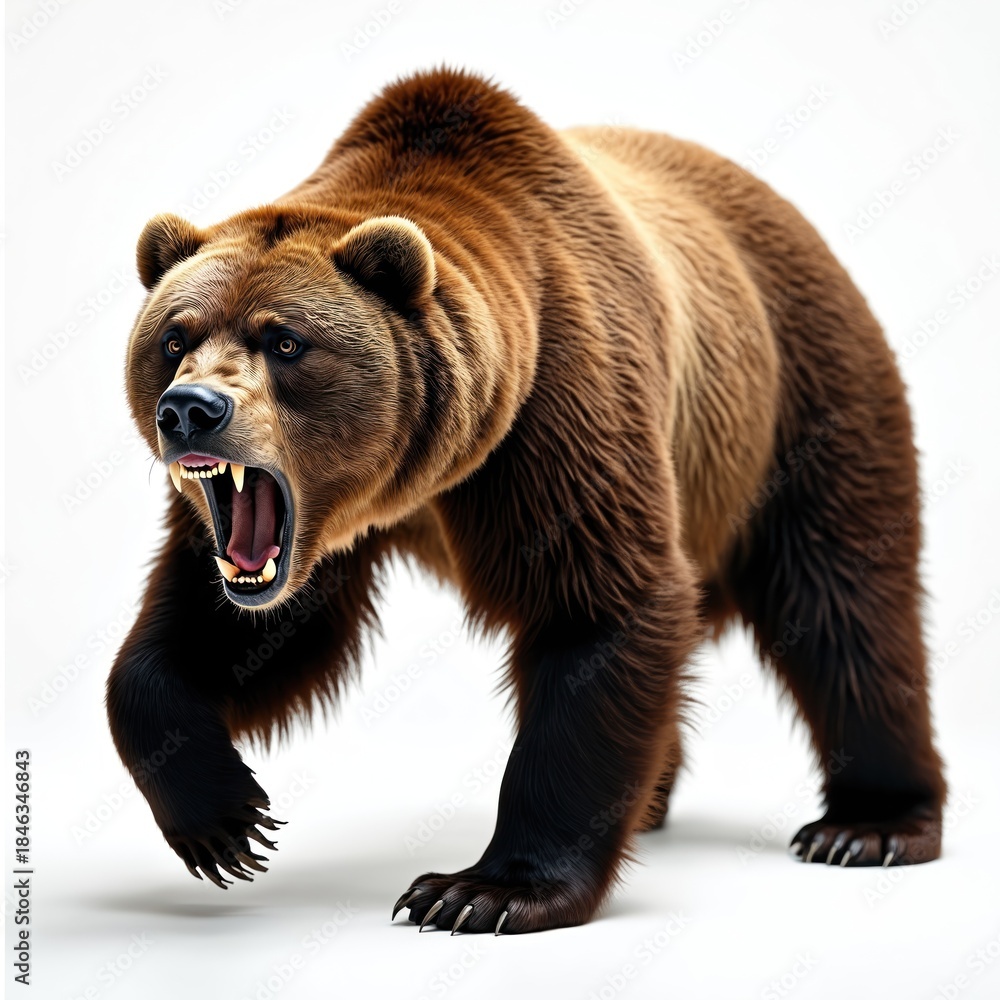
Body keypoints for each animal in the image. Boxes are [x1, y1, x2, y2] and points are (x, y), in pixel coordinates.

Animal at [107, 67, 946, 935]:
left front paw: (480, 890)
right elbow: (230, 632)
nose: (190, 410)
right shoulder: (302, 538)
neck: (429, 476)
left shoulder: (559, 405)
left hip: (800, 400)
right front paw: (224, 819)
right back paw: (655, 799)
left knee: (844, 602)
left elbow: (595, 608)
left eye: (284, 341)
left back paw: (870, 824)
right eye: (175, 337)